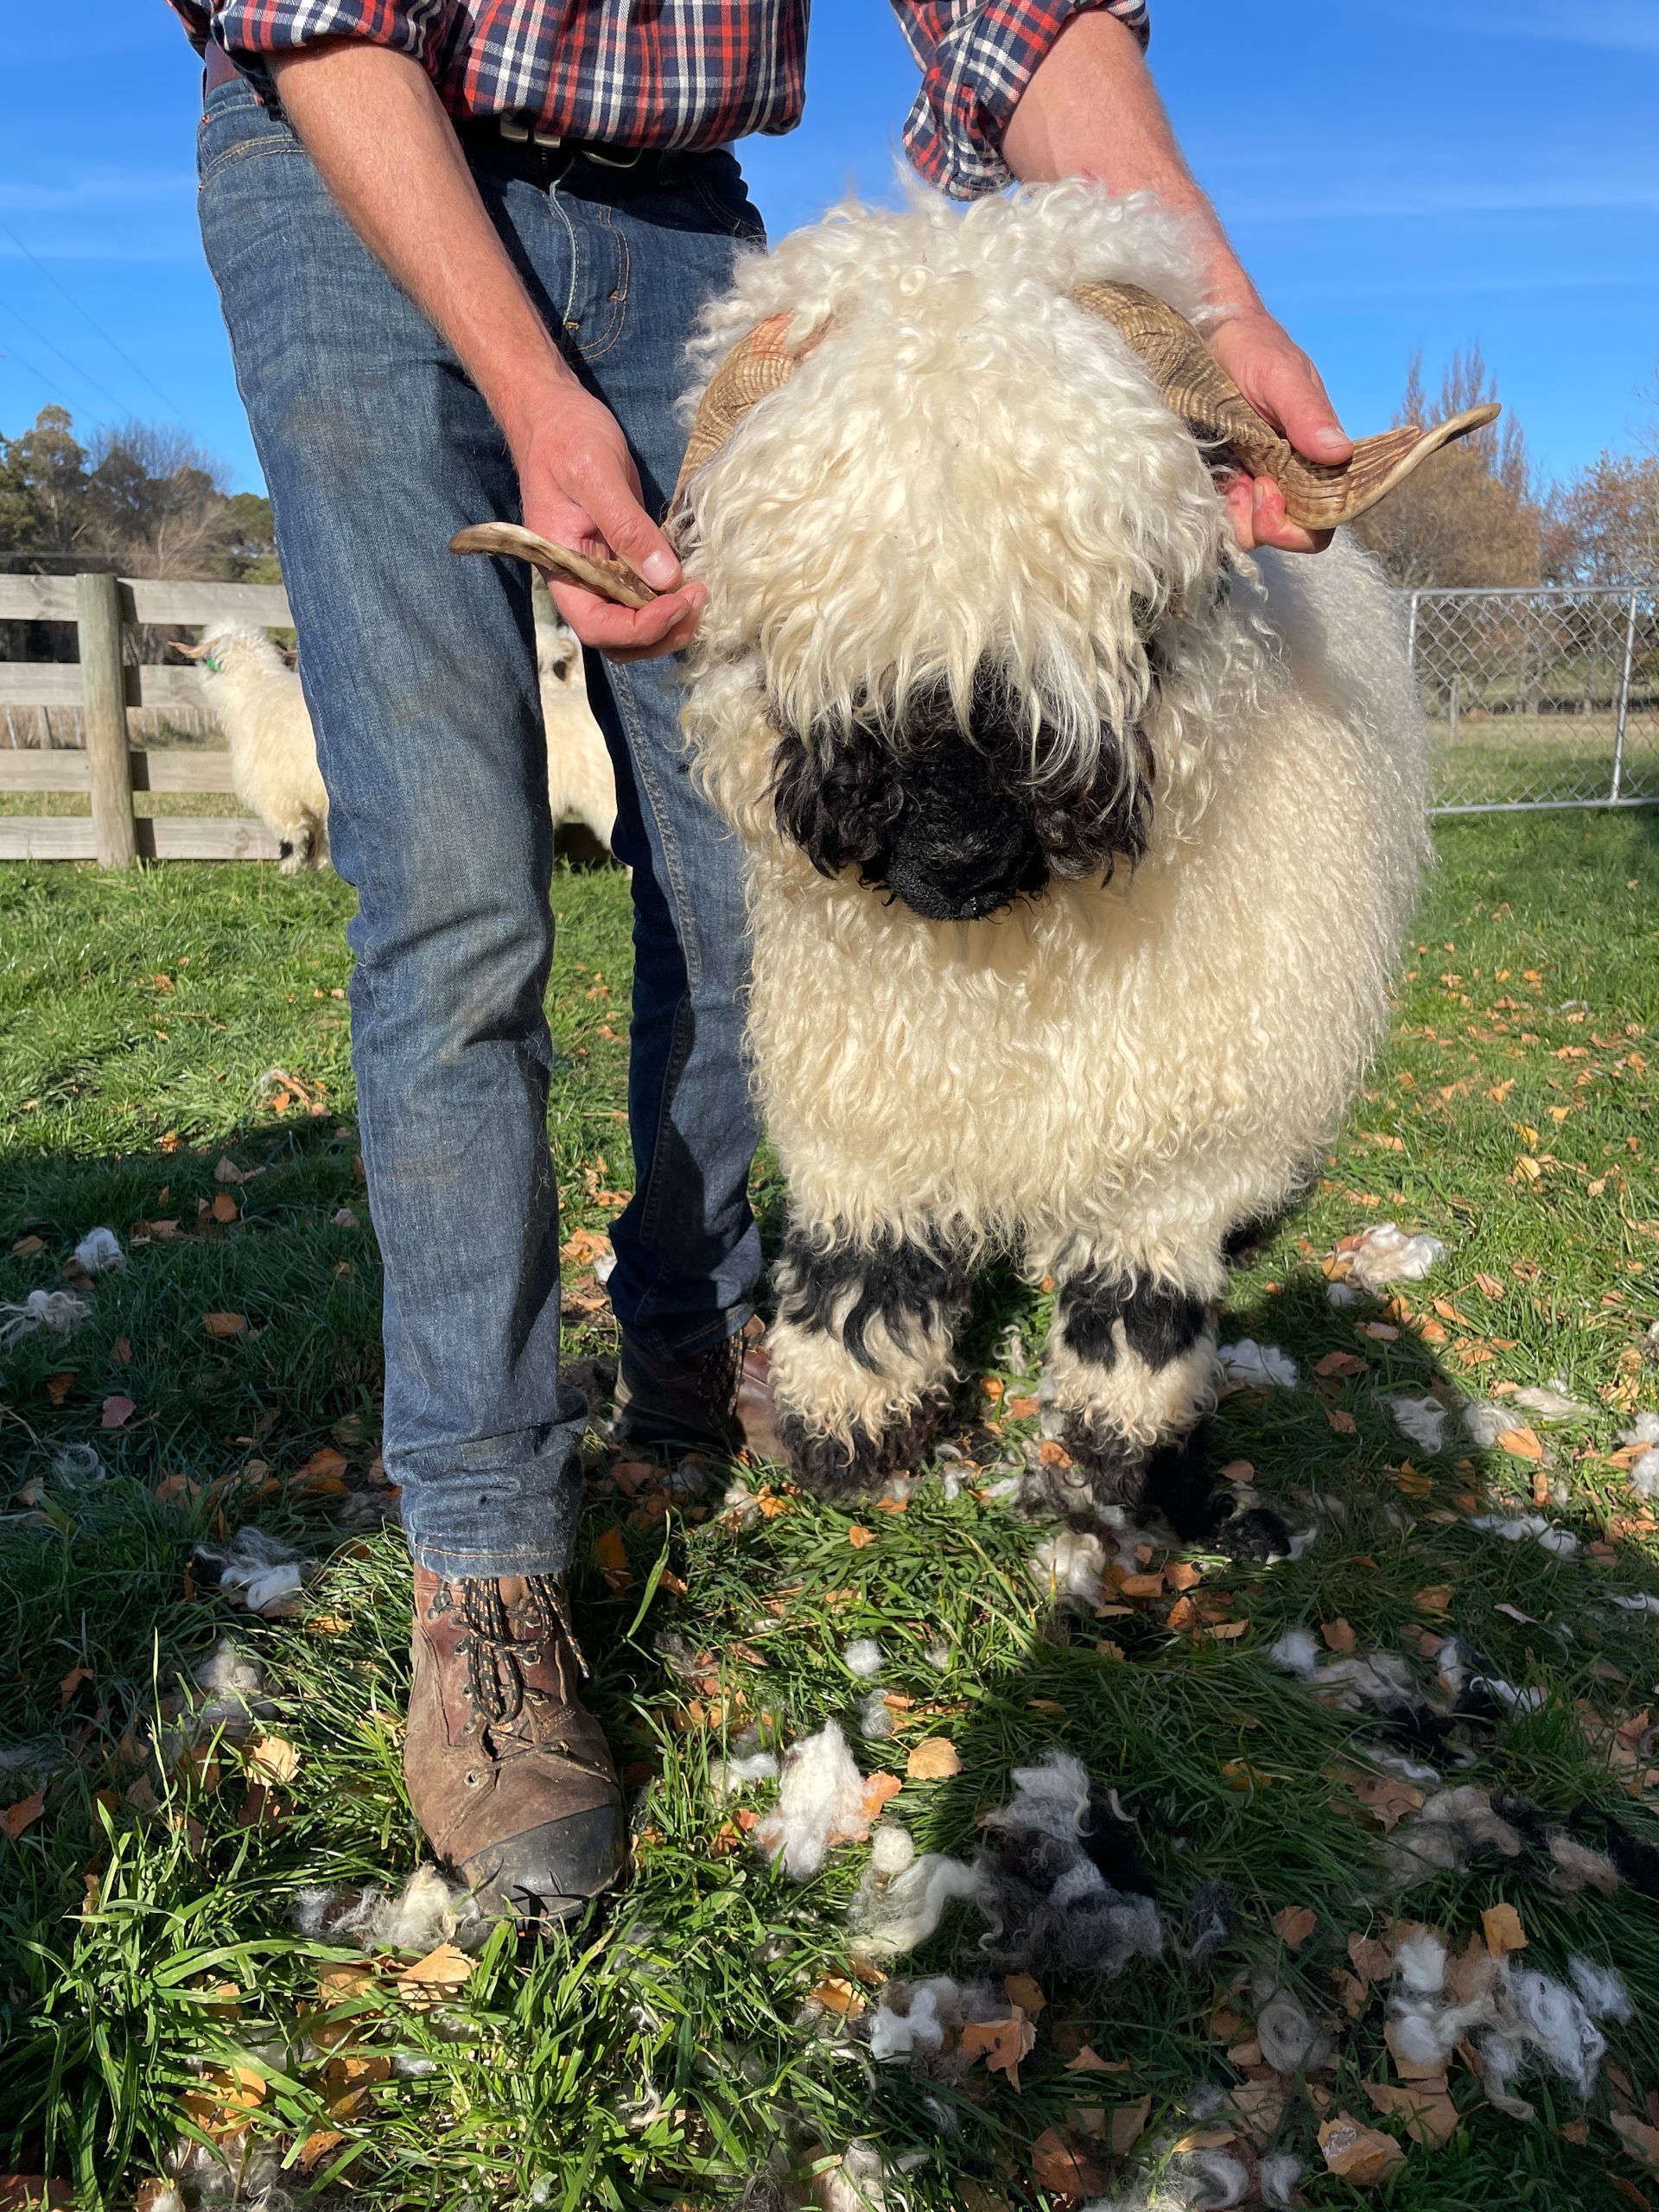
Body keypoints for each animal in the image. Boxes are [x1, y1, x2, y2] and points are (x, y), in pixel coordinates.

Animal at [668, 186, 1433, 1557]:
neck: (1014, 962)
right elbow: (864, 1267)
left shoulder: (1177, 1134)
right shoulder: (870, 1095)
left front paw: (1143, 1476)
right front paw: (845, 1437)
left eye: (1133, 593)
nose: (957, 851)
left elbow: (1140, 1315)